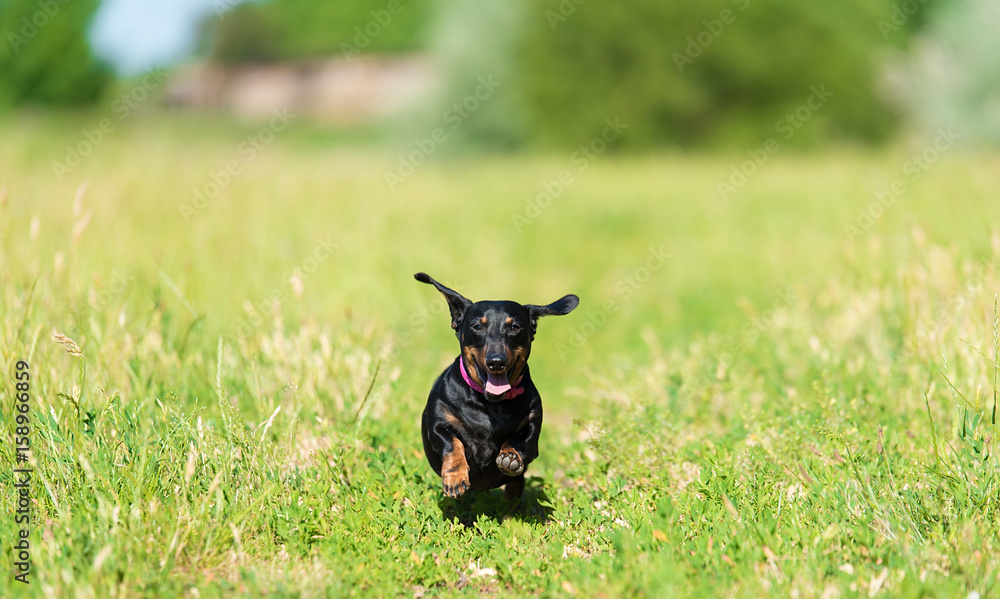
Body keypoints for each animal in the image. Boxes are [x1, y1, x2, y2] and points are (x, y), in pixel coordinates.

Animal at [412, 276, 580, 502]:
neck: (489, 402)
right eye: (477, 326)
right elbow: (453, 444)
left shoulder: (532, 425)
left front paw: (510, 457)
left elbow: (521, 441)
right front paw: (455, 478)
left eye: (515, 327)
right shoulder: (438, 426)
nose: (496, 362)